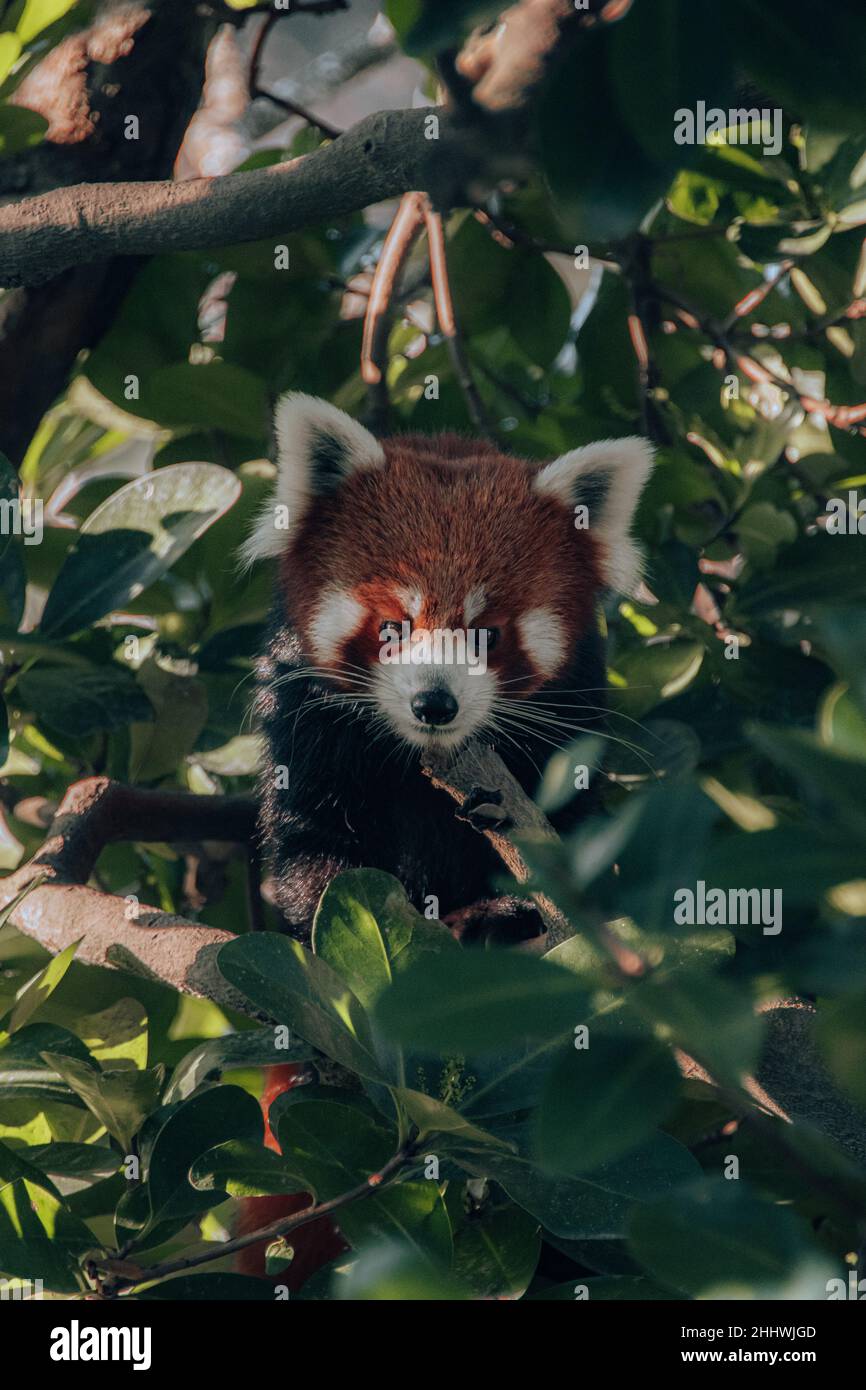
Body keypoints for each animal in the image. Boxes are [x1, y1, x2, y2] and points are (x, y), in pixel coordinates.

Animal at [233, 389, 653, 1278]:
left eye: (487, 633)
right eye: (395, 625)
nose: (435, 703)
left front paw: (511, 914)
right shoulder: (308, 739)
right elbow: (312, 859)